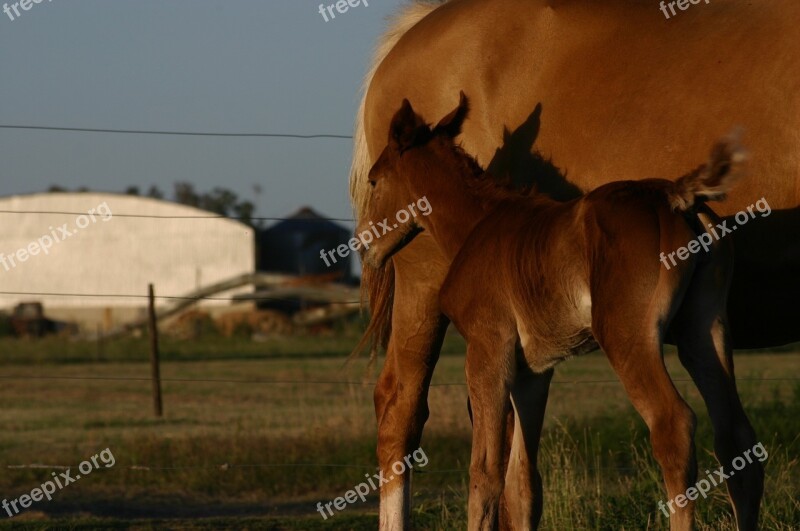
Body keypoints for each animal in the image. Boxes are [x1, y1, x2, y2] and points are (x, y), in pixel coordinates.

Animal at [352, 0, 800, 528]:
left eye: (377, 179)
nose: (364, 244)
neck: (482, 221)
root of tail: (677, 196)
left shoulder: (488, 348)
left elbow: (486, 472)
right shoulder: (527, 364)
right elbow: (516, 478)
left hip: (628, 336)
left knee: (676, 427)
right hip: (701, 329)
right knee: (737, 441)